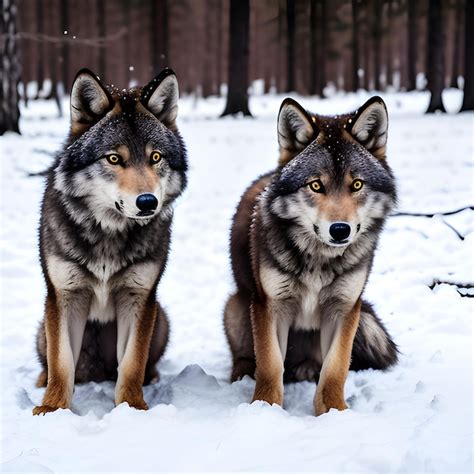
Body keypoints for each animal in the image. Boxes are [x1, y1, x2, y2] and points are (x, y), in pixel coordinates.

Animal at [33, 67, 187, 414]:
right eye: (114, 159)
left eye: (155, 157)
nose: (147, 202)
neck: (109, 233)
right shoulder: (65, 296)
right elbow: (61, 363)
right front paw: (52, 409)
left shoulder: (139, 298)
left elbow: (131, 363)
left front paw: (132, 407)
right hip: (42, 327)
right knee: (51, 362)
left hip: (161, 321)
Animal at [224, 95, 398, 414]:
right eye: (316, 185)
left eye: (357, 184)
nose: (340, 230)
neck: (320, 259)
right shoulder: (271, 306)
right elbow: (270, 365)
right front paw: (265, 409)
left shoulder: (345, 308)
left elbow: (336, 368)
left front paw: (333, 412)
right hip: (236, 306)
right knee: (251, 358)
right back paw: (243, 374)